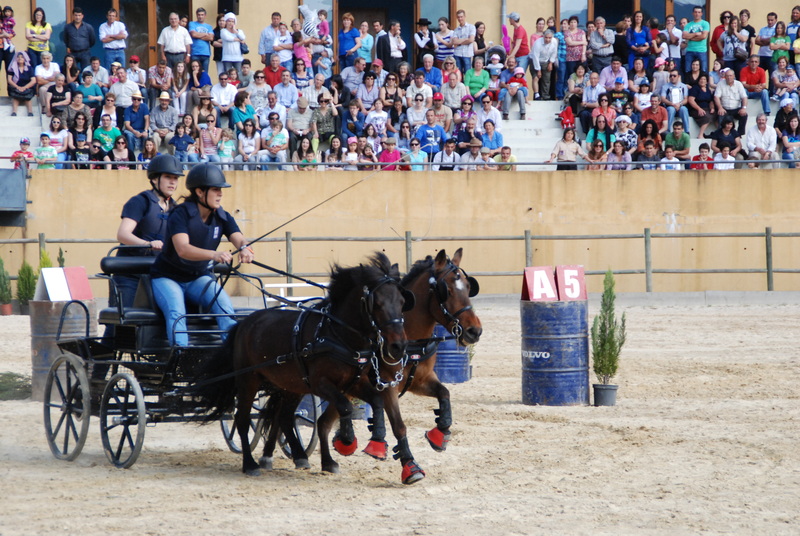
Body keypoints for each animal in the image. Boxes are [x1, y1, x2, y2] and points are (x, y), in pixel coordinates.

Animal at [195, 253, 418, 480]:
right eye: (377, 303)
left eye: (402, 302)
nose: (399, 346)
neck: (338, 335)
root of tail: (244, 322)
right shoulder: (321, 384)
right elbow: (344, 407)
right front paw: (346, 440)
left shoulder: (354, 383)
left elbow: (375, 402)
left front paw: (374, 440)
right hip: (248, 380)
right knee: (242, 419)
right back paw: (250, 464)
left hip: (291, 385)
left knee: (284, 416)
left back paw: (300, 456)